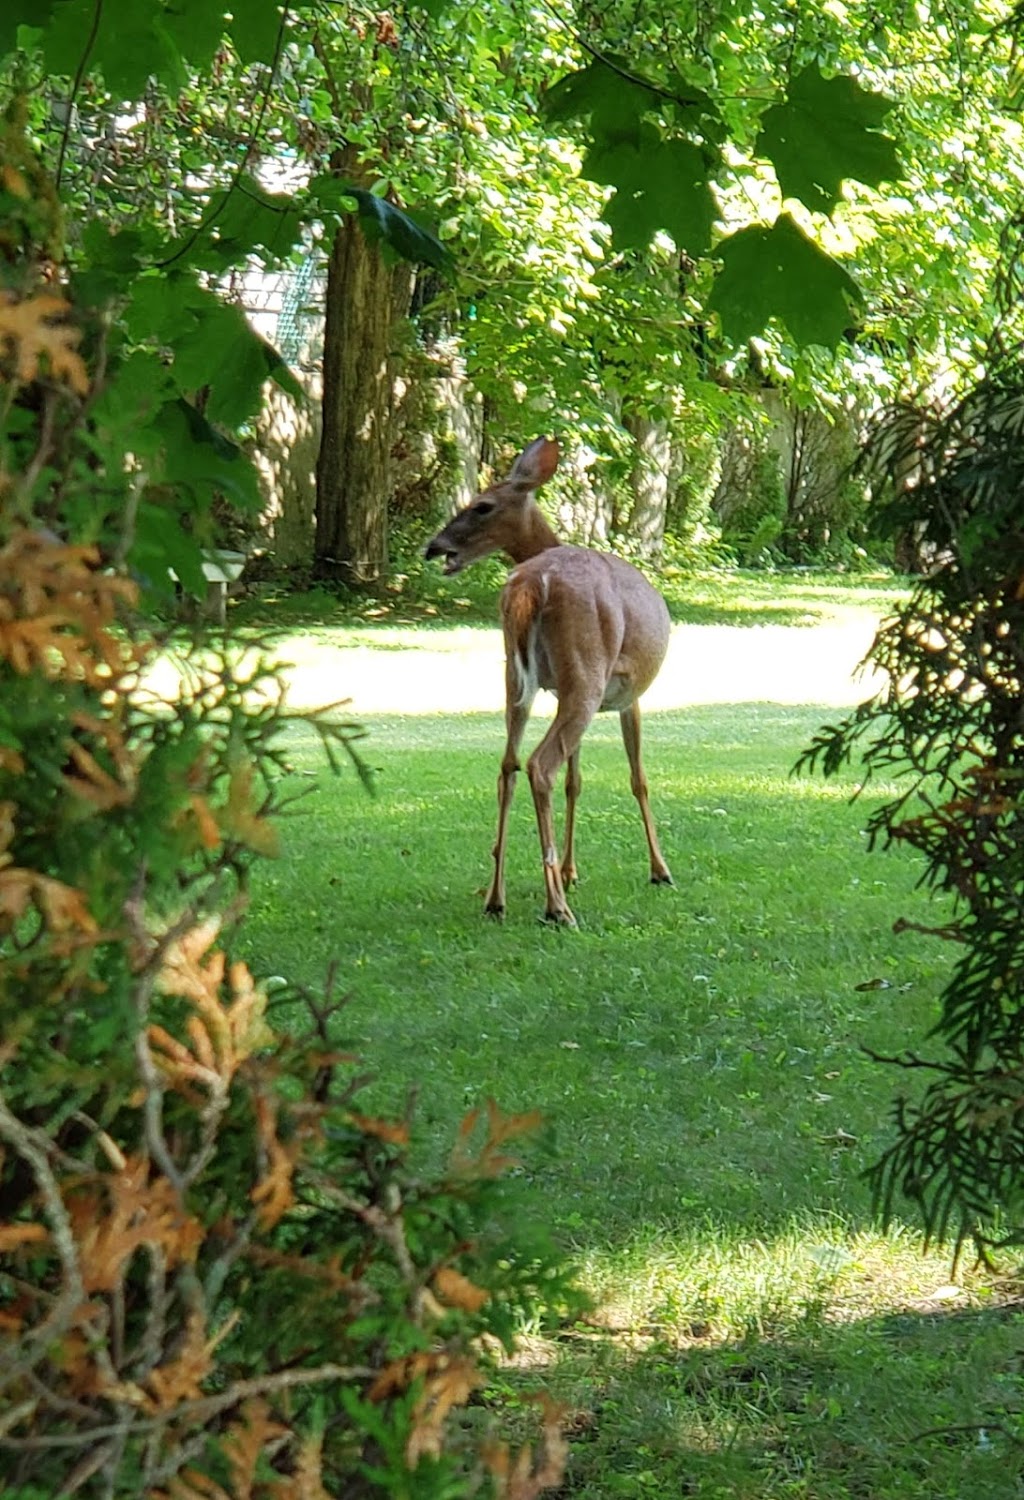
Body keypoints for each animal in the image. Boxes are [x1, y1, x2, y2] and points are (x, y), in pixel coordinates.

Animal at [425, 438, 671, 924]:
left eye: (482, 505)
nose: (433, 547)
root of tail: (530, 582)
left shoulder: (560, 690)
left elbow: (577, 780)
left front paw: (573, 872)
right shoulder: (626, 695)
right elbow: (638, 777)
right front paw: (660, 869)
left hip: (516, 680)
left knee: (509, 765)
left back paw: (496, 898)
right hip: (586, 674)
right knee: (540, 765)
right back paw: (556, 906)